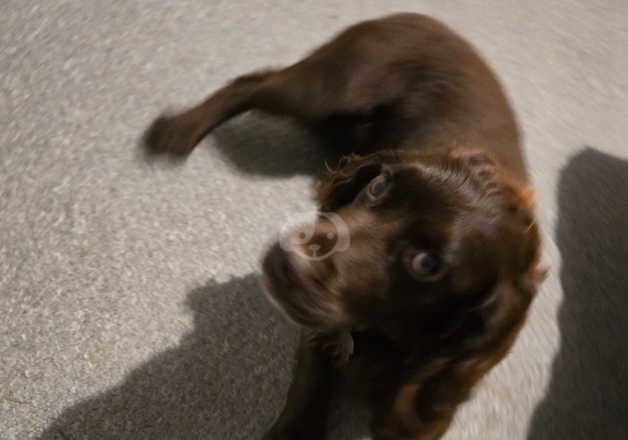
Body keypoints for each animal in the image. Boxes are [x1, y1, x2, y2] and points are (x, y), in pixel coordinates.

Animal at [144, 12, 544, 438]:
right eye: (378, 185)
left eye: (426, 264)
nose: (286, 263)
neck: (383, 333)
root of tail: (425, 16)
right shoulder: (317, 332)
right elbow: (308, 391)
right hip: (331, 87)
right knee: (251, 83)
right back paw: (176, 130)